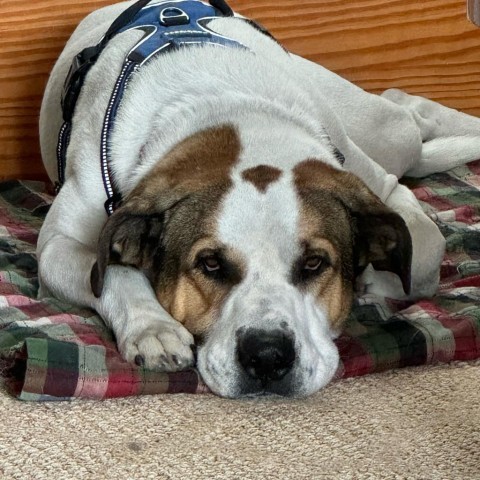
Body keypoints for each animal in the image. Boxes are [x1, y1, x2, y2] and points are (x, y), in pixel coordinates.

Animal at [36, 0, 480, 398]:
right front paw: (153, 327)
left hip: (378, 130)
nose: (267, 356)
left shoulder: (378, 188)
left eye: (315, 264)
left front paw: (375, 281)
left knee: (409, 114)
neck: (228, 109)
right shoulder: (57, 247)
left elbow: (423, 256)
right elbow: (110, 270)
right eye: (210, 264)